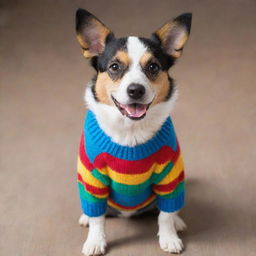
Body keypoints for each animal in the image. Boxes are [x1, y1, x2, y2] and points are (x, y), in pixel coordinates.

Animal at [75, 7, 191, 254]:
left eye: (153, 67)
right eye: (114, 67)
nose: (135, 90)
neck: (130, 129)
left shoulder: (169, 176)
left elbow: (165, 215)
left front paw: (169, 237)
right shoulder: (92, 179)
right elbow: (97, 218)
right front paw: (95, 240)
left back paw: (177, 221)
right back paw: (86, 218)